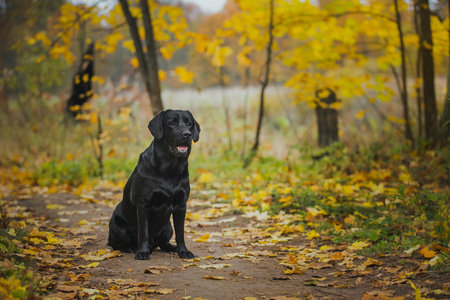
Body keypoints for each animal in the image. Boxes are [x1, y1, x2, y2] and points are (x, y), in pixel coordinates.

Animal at [108, 109, 200, 258]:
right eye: (171, 123)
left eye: (189, 124)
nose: (187, 134)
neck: (170, 169)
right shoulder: (143, 204)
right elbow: (143, 232)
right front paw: (142, 252)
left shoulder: (181, 205)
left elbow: (180, 233)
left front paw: (183, 251)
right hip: (117, 226)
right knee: (116, 245)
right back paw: (131, 248)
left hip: (168, 228)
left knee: (162, 243)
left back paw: (171, 247)